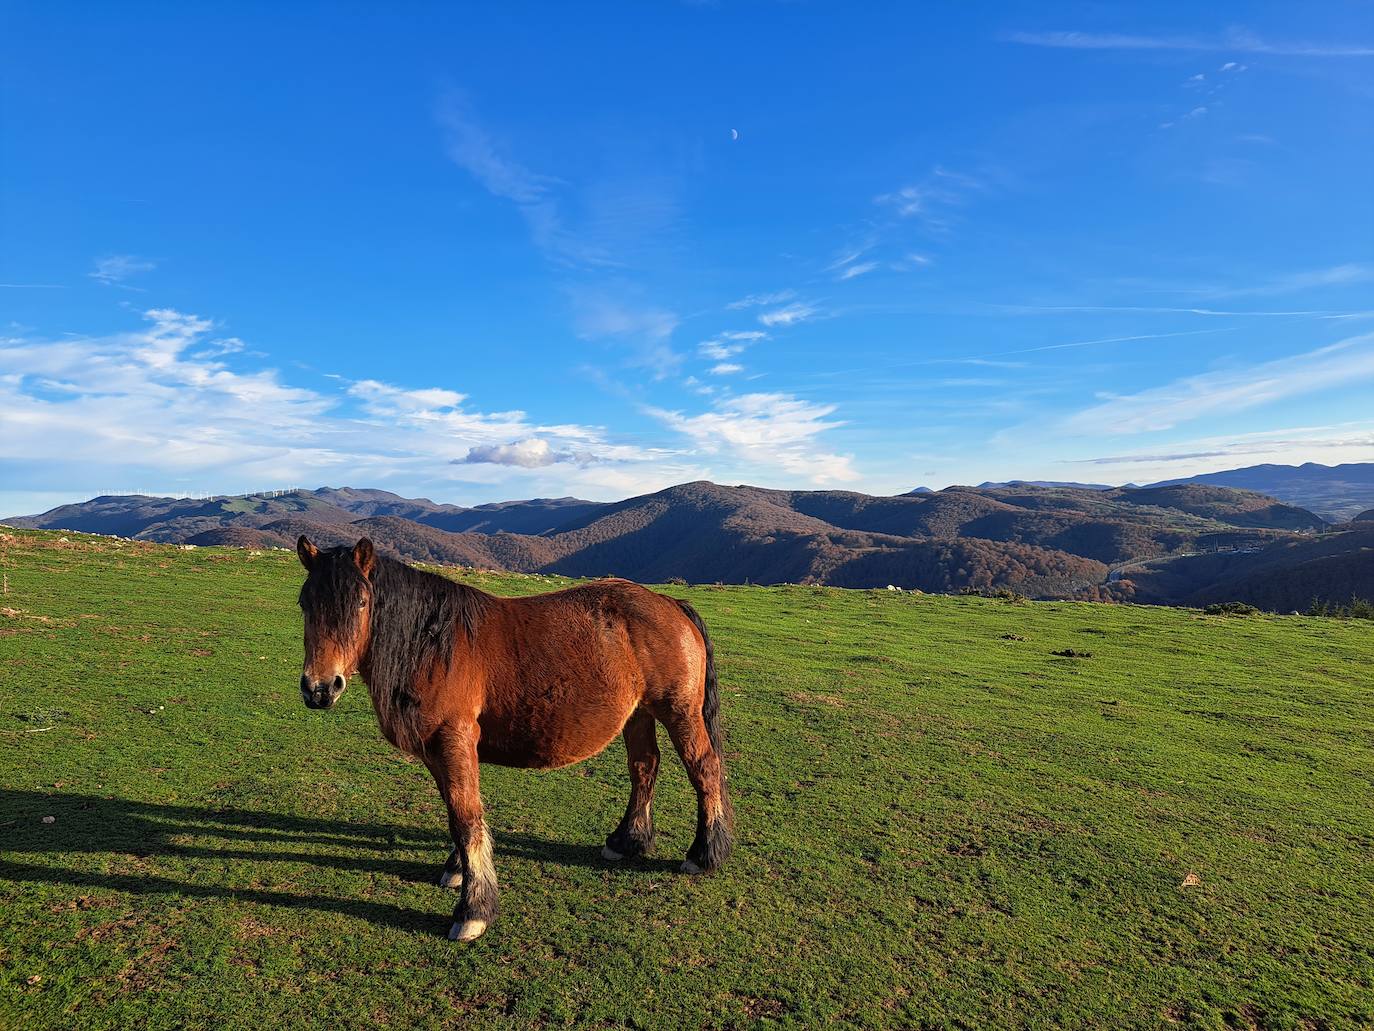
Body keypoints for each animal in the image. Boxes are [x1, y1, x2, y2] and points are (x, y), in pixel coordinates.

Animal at [296, 541, 736, 945]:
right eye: (304, 602)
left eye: (361, 603)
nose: (320, 688)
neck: (433, 645)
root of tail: (671, 604)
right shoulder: (439, 750)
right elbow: (456, 811)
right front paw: (459, 869)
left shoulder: (454, 739)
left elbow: (465, 818)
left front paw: (474, 910)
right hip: (639, 714)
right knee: (644, 767)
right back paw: (627, 840)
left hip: (679, 712)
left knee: (704, 768)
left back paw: (703, 854)